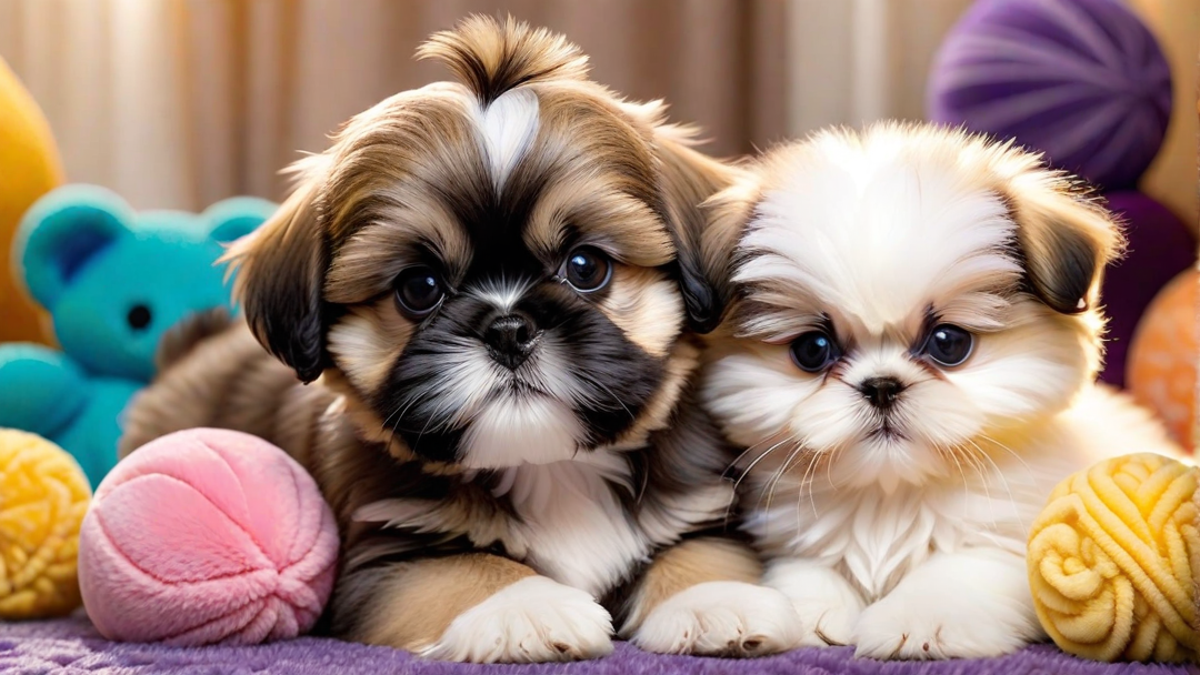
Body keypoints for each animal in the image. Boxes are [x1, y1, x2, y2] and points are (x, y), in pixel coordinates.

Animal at [121, 15, 801, 662]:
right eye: (419, 288)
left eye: (586, 267)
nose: (508, 328)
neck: (550, 468)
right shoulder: (385, 557)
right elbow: (464, 570)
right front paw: (526, 610)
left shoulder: (697, 508)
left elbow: (704, 550)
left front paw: (717, 603)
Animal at [700, 120, 1176, 658]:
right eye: (812, 349)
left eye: (949, 343)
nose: (881, 386)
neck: (892, 496)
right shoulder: (795, 539)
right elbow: (807, 570)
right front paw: (807, 612)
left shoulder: (1015, 539)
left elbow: (961, 571)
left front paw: (921, 620)